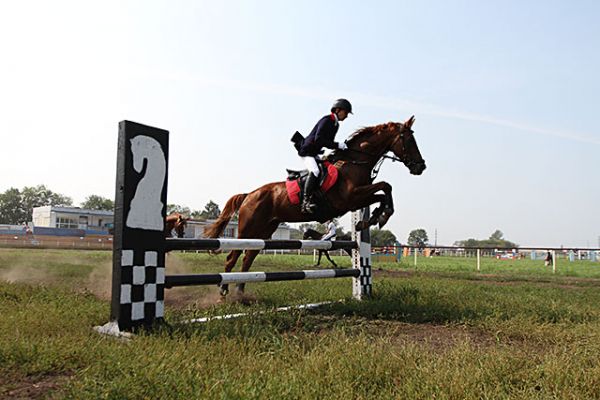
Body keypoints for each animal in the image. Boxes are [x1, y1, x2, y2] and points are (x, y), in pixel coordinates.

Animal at [204, 115, 424, 296]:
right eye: (408, 139)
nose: (421, 166)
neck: (354, 161)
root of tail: (249, 195)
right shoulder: (351, 198)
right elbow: (384, 187)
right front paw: (379, 216)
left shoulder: (359, 196)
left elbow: (384, 191)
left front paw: (374, 218)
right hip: (247, 229)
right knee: (232, 257)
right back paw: (224, 291)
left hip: (264, 231)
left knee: (247, 259)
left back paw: (240, 293)